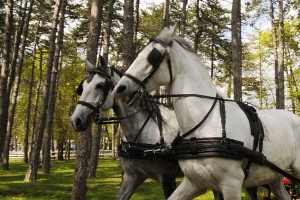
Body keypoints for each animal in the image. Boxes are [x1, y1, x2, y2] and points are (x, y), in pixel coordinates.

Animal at [110, 25, 300, 200]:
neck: (204, 125)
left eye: (153, 56)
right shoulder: (194, 182)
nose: (119, 88)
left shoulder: (231, 183)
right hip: (274, 176)